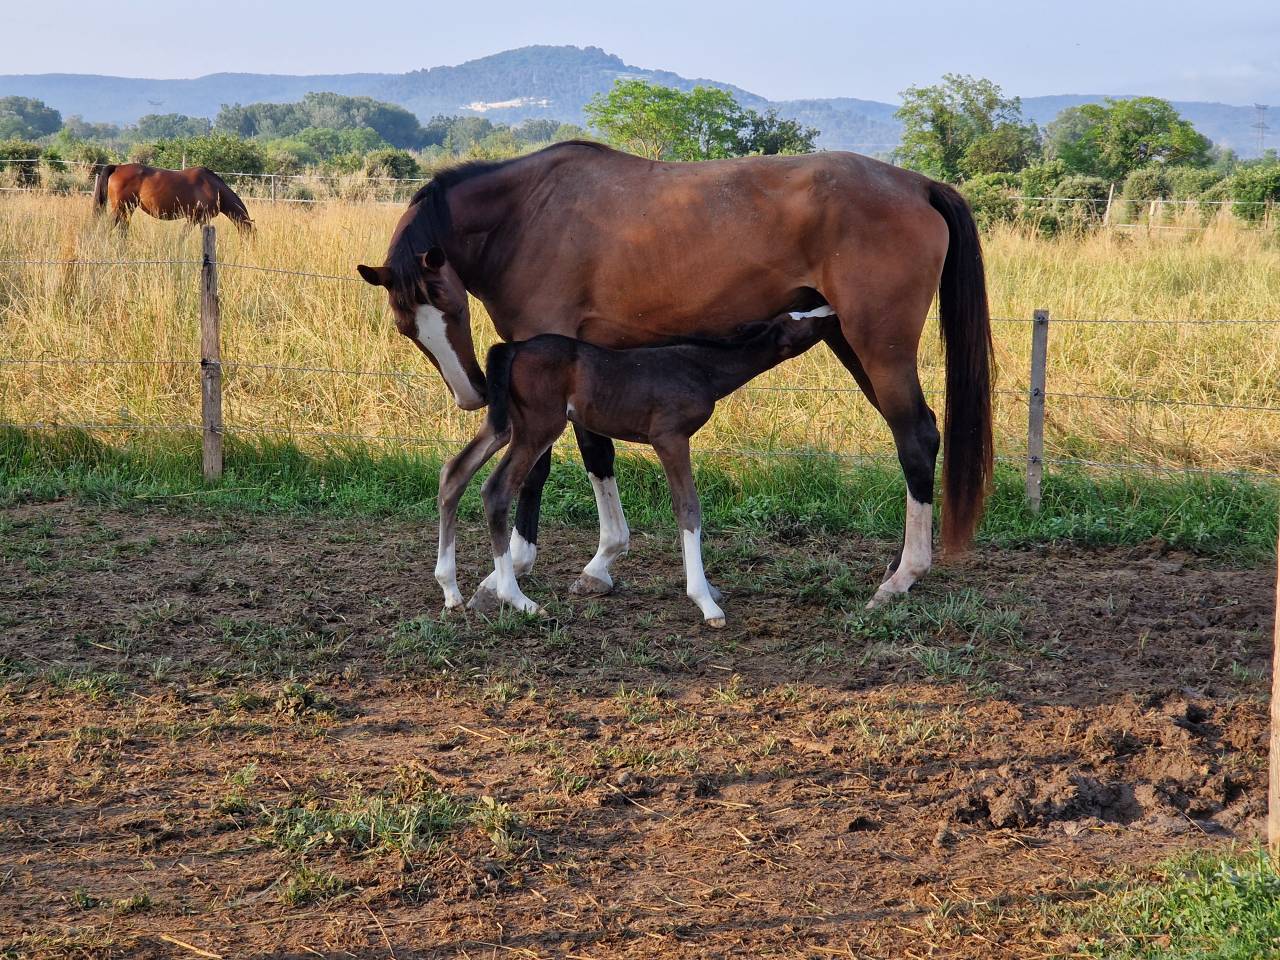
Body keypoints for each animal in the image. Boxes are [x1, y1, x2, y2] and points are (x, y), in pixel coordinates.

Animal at [93, 163, 253, 233]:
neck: (214, 187)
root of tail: (117, 167)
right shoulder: (197, 217)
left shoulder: (198, 219)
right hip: (121, 208)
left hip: (127, 210)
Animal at [435, 308, 838, 625]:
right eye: (799, 320)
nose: (829, 312)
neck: (701, 368)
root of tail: (514, 348)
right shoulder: (670, 437)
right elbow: (688, 508)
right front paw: (705, 602)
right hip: (538, 427)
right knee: (496, 489)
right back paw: (516, 598)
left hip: (504, 426)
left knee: (454, 473)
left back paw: (450, 590)